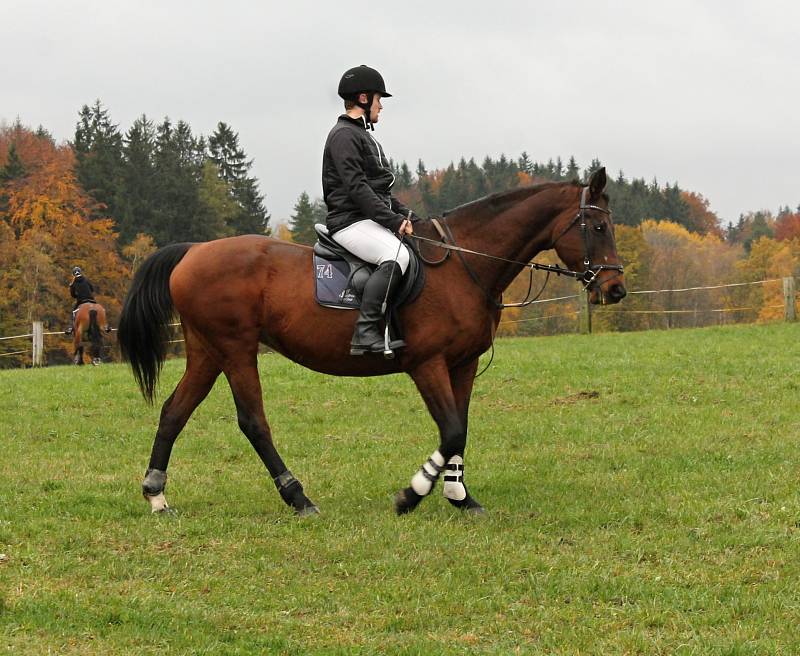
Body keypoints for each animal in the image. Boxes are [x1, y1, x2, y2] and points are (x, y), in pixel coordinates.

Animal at [117, 167, 624, 516]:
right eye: (598, 227)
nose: (615, 289)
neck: (464, 264)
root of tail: (194, 251)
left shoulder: (461, 364)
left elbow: (460, 429)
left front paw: (460, 496)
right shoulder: (427, 363)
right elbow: (451, 430)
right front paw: (411, 494)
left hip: (208, 351)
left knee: (174, 412)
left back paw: (157, 496)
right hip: (236, 348)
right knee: (253, 421)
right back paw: (298, 497)